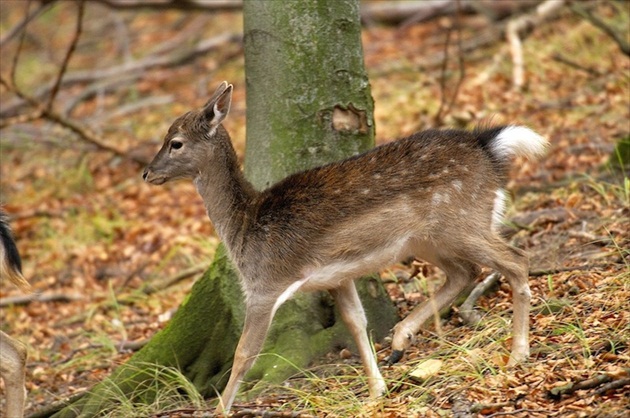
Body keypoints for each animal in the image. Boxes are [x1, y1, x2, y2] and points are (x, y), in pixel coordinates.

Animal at [143, 80, 548, 414]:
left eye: (175, 142)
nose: (147, 173)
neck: (244, 226)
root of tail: (488, 146)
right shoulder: (337, 276)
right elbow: (356, 323)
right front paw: (376, 391)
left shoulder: (264, 284)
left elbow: (244, 353)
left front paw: (221, 409)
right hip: (428, 238)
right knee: (464, 272)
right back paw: (401, 337)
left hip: (460, 221)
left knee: (516, 260)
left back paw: (518, 353)